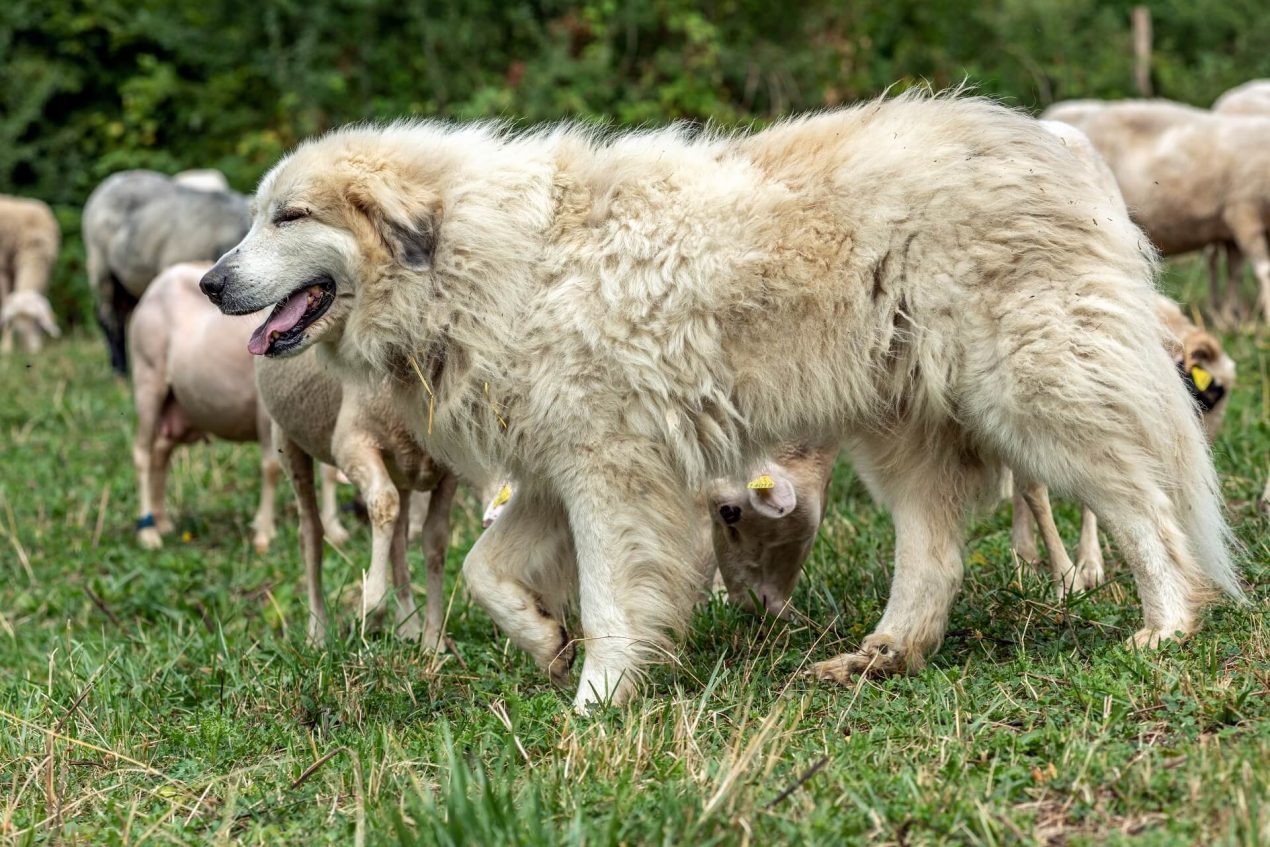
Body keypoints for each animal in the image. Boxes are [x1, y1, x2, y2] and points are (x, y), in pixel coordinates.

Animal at [0, 194, 60, 355]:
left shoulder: (45, 274)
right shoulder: (2, 271)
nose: (31, 352)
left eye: (36, 321)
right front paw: (6, 349)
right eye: (14, 323)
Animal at [255, 347, 459, 645]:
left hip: (399, 466)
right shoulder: (352, 443)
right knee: (310, 533)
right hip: (286, 435)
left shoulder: (451, 471)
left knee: (398, 537)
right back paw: (317, 631)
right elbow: (384, 503)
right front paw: (371, 610)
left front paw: (433, 639)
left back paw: (409, 625)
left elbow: (436, 541)